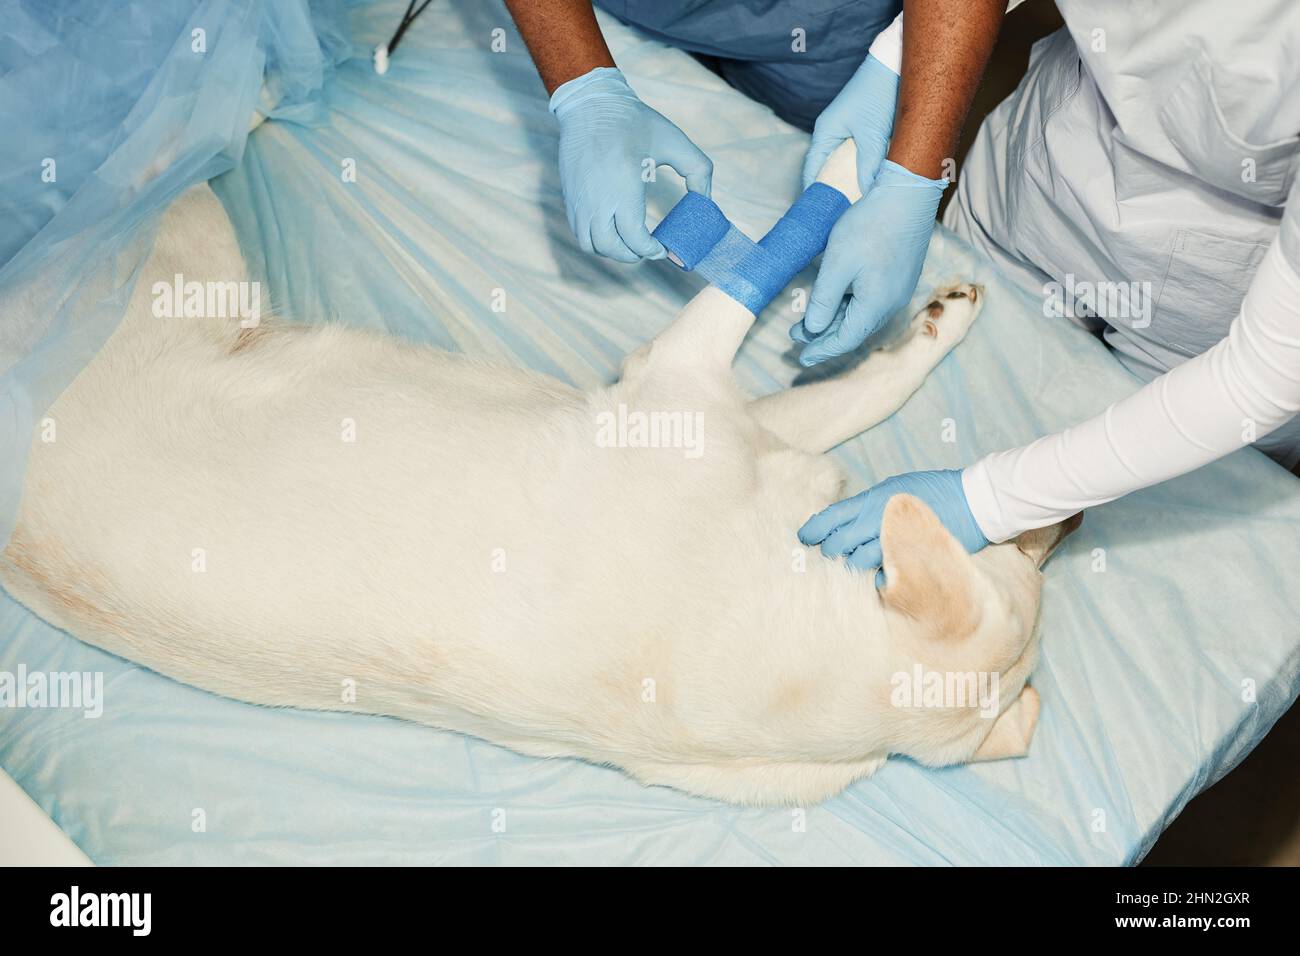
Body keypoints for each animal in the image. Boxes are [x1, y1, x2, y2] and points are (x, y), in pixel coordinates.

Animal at [0, 143, 1076, 806]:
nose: (1059, 524)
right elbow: (836, 357)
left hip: (192, 263)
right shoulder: (707, 404)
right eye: (1016, 561)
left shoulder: (692, 398)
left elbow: (800, 329)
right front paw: (883, 207)